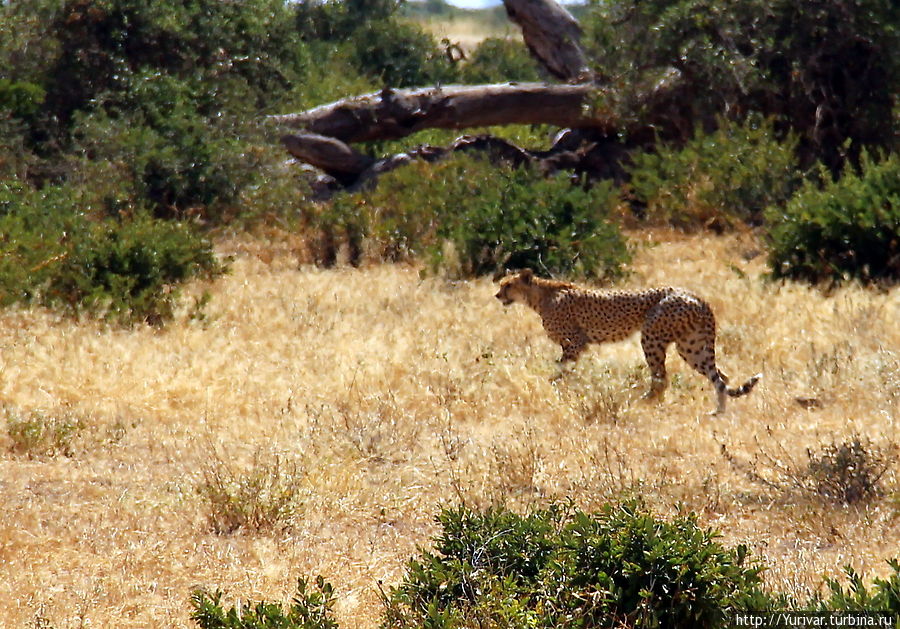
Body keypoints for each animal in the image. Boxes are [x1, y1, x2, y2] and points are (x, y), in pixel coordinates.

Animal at [492, 268, 760, 414]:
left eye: (508, 285)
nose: (497, 295)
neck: (539, 296)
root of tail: (695, 295)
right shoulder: (575, 346)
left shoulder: (574, 343)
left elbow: (560, 372)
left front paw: (557, 389)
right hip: (690, 346)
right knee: (721, 377)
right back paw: (718, 412)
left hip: (652, 337)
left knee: (661, 379)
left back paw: (640, 403)